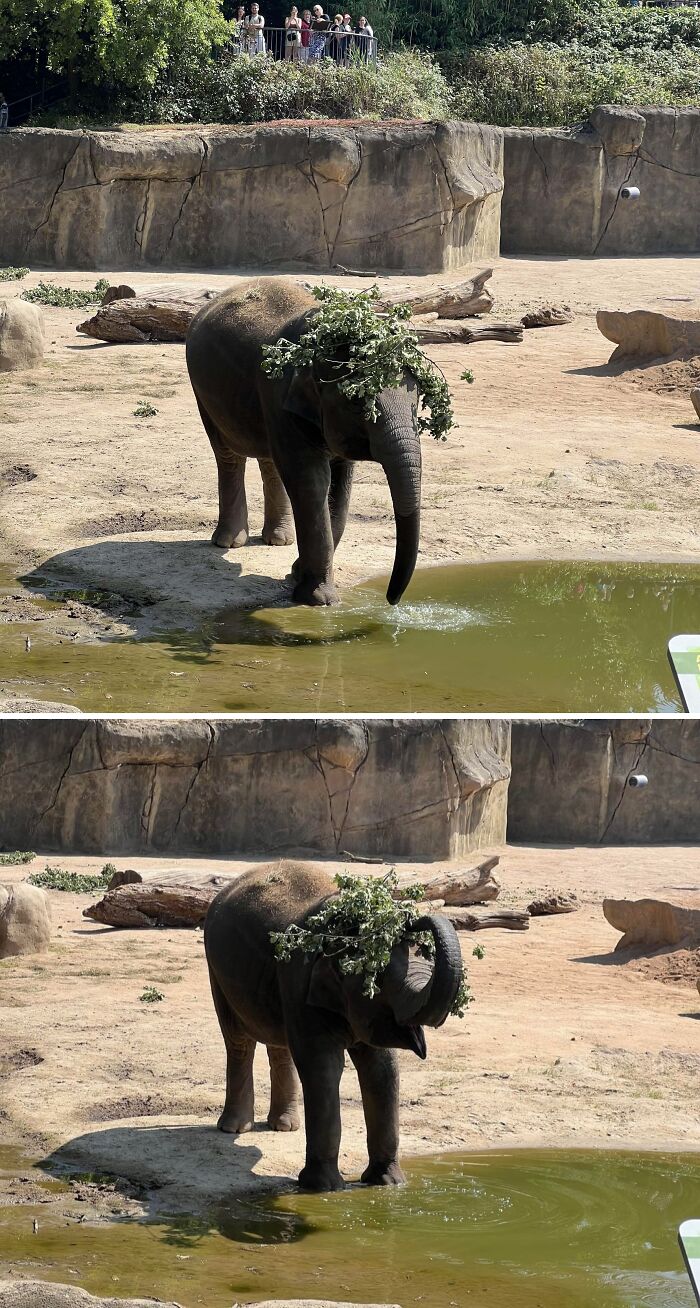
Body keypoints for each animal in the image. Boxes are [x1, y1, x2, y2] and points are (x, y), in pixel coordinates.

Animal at [185, 279, 422, 607]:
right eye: (358, 402)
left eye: (417, 402)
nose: (391, 599)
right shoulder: (278, 395)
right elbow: (311, 481)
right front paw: (318, 599)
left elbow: (340, 485)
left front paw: (297, 574)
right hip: (202, 394)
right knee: (228, 455)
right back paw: (228, 542)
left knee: (268, 459)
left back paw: (278, 540)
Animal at [203, 860, 464, 1193]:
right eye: (380, 980)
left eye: (427, 961)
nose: (412, 918)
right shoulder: (300, 984)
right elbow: (323, 1067)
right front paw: (323, 1188)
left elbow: (383, 1070)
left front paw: (388, 1182)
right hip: (216, 971)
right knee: (238, 1041)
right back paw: (234, 1128)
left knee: (279, 1043)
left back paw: (284, 1126)